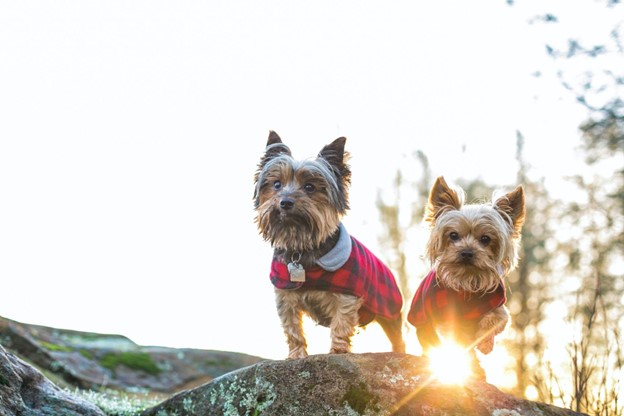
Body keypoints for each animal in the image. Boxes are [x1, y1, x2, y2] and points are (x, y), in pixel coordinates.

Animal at [252, 132, 404, 360]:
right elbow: (292, 328)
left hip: (389, 309)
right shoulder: (285, 296)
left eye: (309, 187)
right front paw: (296, 354)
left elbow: (341, 322)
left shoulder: (347, 296)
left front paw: (338, 350)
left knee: (396, 334)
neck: (302, 247)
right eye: (277, 184)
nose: (285, 202)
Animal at [408, 176, 524, 364]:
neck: (467, 280)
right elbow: (457, 337)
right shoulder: (446, 319)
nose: (467, 252)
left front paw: (485, 344)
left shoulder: (498, 306)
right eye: (453, 235)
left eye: (485, 239)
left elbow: (497, 319)